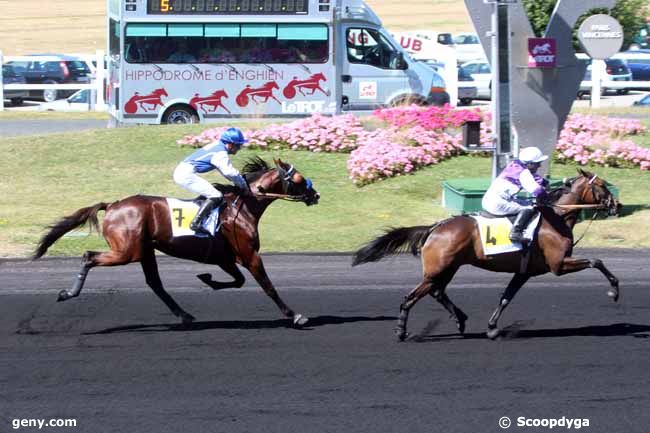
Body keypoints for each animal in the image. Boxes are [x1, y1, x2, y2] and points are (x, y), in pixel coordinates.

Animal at [33, 157, 318, 326]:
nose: (315, 195)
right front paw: (296, 315)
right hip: (127, 251)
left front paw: (207, 279)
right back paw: (68, 293)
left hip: (144, 251)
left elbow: (237, 281)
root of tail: (112, 205)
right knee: (89, 257)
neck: (243, 206)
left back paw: (184, 314)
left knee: (155, 283)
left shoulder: (225, 257)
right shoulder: (249, 255)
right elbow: (268, 286)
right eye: (298, 179)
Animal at [352, 169, 620, 340]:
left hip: (449, 268)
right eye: (602, 185)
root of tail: (435, 227)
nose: (616, 205)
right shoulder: (558, 265)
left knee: (437, 292)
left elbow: (506, 297)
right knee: (412, 297)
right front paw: (614, 291)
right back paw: (401, 331)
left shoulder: (524, 272)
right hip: (437, 269)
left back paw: (460, 319)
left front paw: (492, 328)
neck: (556, 217)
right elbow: (597, 261)